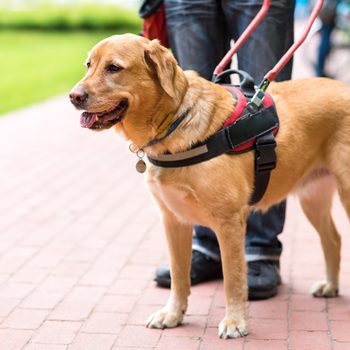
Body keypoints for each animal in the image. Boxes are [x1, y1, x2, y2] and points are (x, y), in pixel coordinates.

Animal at [69, 34, 350, 338]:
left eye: (114, 68)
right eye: (89, 65)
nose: (73, 96)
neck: (174, 122)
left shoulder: (230, 222)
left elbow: (233, 279)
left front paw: (236, 321)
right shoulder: (173, 220)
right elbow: (179, 275)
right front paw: (173, 314)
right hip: (313, 198)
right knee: (333, 239)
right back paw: (330, 286)